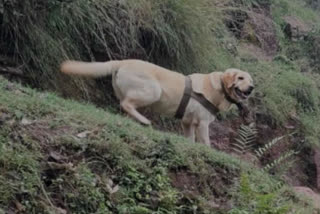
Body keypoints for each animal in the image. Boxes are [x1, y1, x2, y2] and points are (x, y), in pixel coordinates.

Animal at [61, 59, 254, 145]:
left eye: (251, 80)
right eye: (240, 78)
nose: (251, 88)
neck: (219, 87)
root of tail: (122, 61)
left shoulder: (188, 123)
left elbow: (190, 139)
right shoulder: (203, 124)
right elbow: (206, 143)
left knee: (125, 107)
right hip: (154, 91)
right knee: (126, 104)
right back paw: (145, 120)